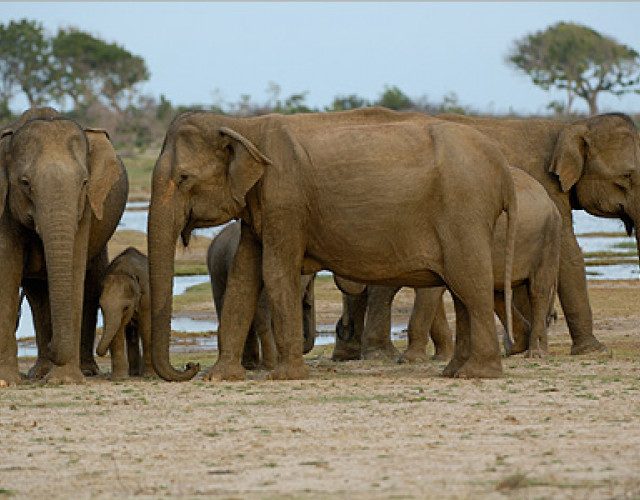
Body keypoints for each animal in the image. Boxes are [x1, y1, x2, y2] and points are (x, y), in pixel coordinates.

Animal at [0, 108, 128, 385]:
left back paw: (84, 371)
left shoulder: (85, 208)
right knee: (37, 294)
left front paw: (65, 380)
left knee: (90, 284)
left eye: (84, 182)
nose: (53, 347)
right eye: (25, 183)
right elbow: (7, 271)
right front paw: (7, 381)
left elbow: (75, 271)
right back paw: (39, 372)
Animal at [97, 247, 154, 380]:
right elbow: (117, 331)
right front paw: (120, 378)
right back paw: (134, 373)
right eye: (100, 306)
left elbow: (146, 327)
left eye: (126, 307)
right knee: (131, 333)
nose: (99, 351)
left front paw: (150, 376)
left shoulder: (147, 296)